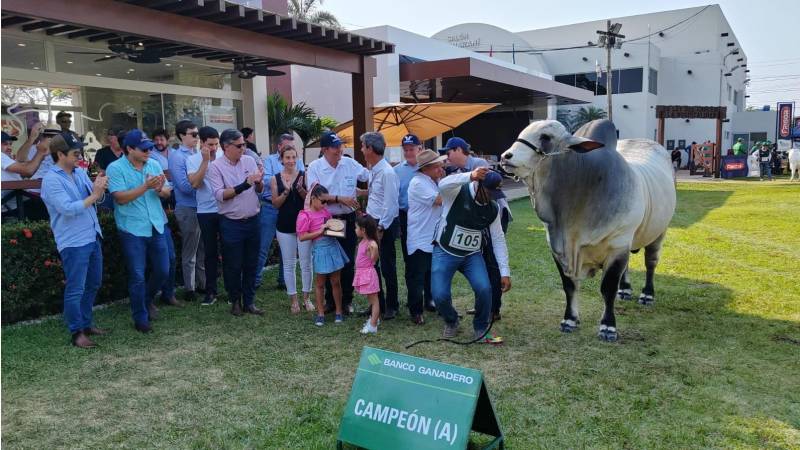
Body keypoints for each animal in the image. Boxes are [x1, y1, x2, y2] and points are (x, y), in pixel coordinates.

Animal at [500, 119, 676, 342]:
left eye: (546, 137)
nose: (505, 156)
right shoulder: (557, 249)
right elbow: (569, 285)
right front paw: (570, 319)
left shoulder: (617, 244)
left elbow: (608, 288)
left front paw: (608, 327)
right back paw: (625, 290)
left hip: (659, 232)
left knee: (650, 263)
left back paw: (647, 294)